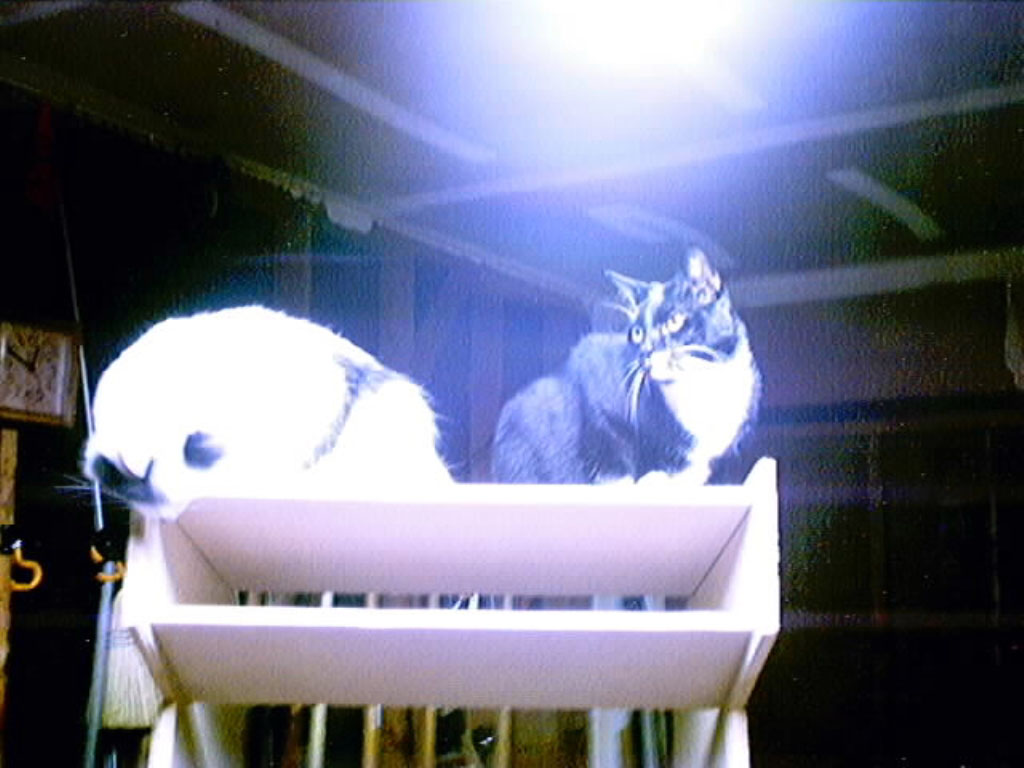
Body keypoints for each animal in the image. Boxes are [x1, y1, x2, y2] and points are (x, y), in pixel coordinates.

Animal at [492, 247, 760, 488]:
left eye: (674, 321)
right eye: (638, 333)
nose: (647, 352)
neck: (700, 381)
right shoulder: (592, 381)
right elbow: (612, 456)